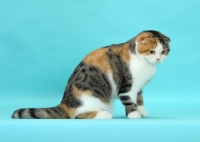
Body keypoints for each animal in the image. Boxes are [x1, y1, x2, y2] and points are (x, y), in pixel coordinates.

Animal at [11, 30, 170, 118]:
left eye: (163, 51)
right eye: (152, 52)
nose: (158, 58)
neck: (143, 62)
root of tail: (64, 103)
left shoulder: (138, 87)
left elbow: (139, 99)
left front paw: (142, 111)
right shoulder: (127, 87)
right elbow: (130, 101)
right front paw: (134, 114)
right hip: (92, 99)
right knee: (77, 116)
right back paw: (105, 114)